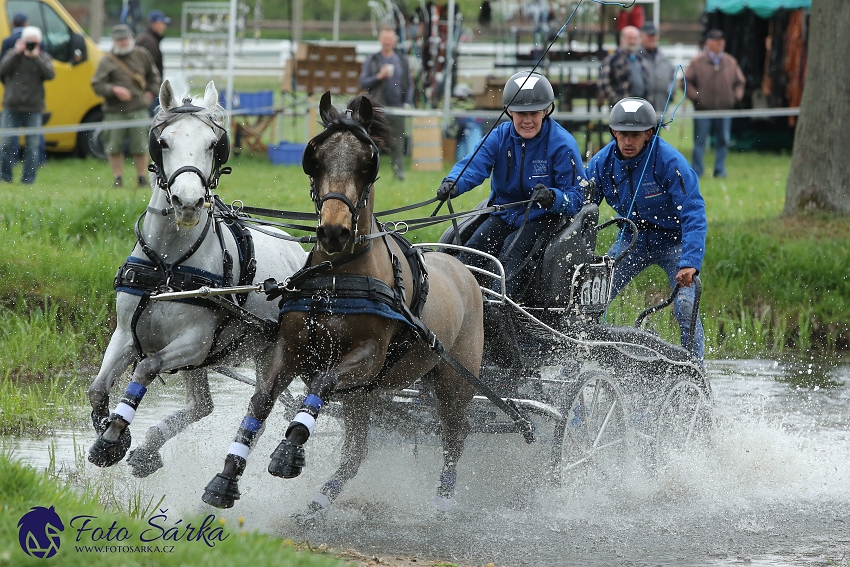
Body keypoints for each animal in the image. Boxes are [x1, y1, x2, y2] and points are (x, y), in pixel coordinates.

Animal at [88, 81, 306, 480]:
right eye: (163, 141)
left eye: (213, 144)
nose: (187, 202)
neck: (168, 265)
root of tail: (299, 250)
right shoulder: (127, 332)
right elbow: (97, 389)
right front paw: (112, 434)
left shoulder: (195, 342)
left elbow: (146, 367)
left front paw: (113, 437)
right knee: (202, 406)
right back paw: (150, 448)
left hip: (268, 352)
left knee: (258, 409)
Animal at [202, 91, 484, 516]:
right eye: (315, 158)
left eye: (368, 163)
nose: (333, 231)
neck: (338, 277)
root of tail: (461, 266)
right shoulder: (292, 349)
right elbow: (261, 401)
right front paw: (227, 475)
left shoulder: (366, 357)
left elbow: (323, 382)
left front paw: (290, 449)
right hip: (365, 396)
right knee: (356, 452)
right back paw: (319, 502)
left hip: (454, 383)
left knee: (455, 438)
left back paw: (443, 501)